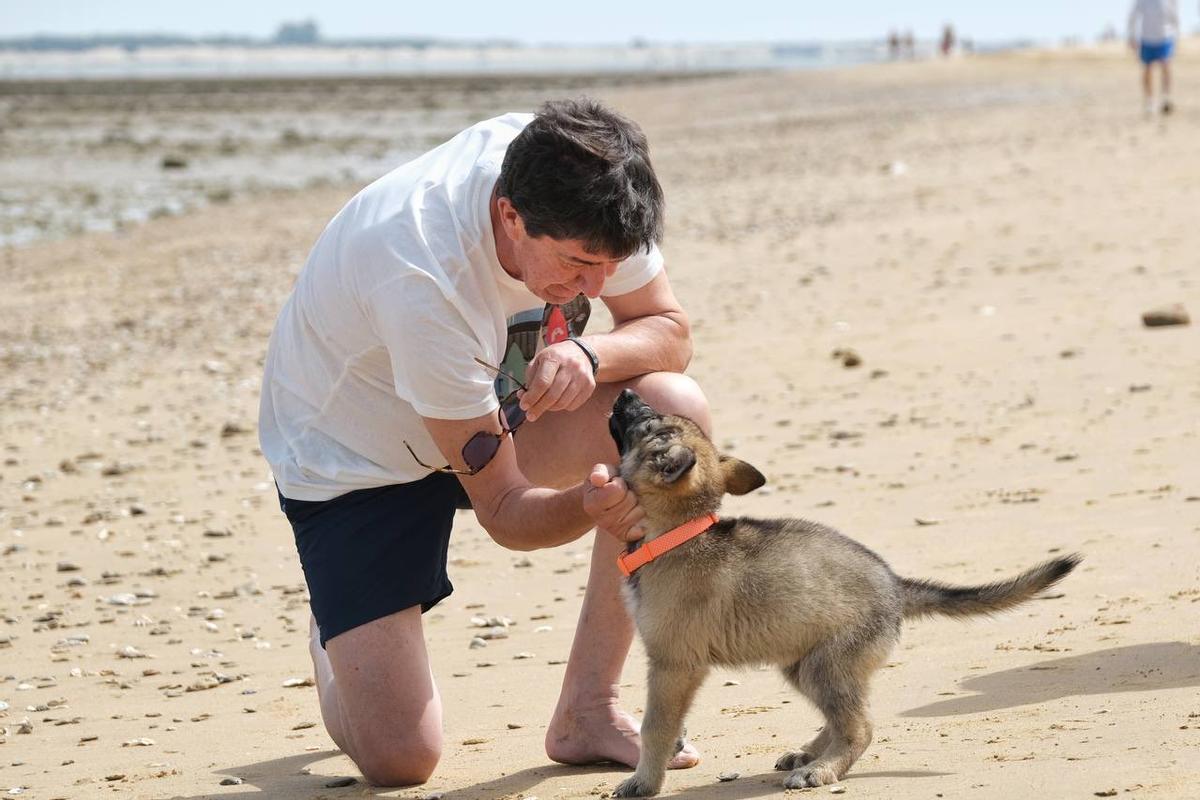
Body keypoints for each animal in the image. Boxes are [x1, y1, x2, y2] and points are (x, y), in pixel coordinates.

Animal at [604, 388, 1084, 796]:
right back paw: (810, 754)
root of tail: (896, 587)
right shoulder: (674, 667)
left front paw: (643, 782)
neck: (677, 534)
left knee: (860, 728)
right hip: (806, 666)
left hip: (826, 667)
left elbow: (656, 727)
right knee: (843, 720)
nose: (624, 392)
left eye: (647, 422)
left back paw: (822, 769)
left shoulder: (673, 665)